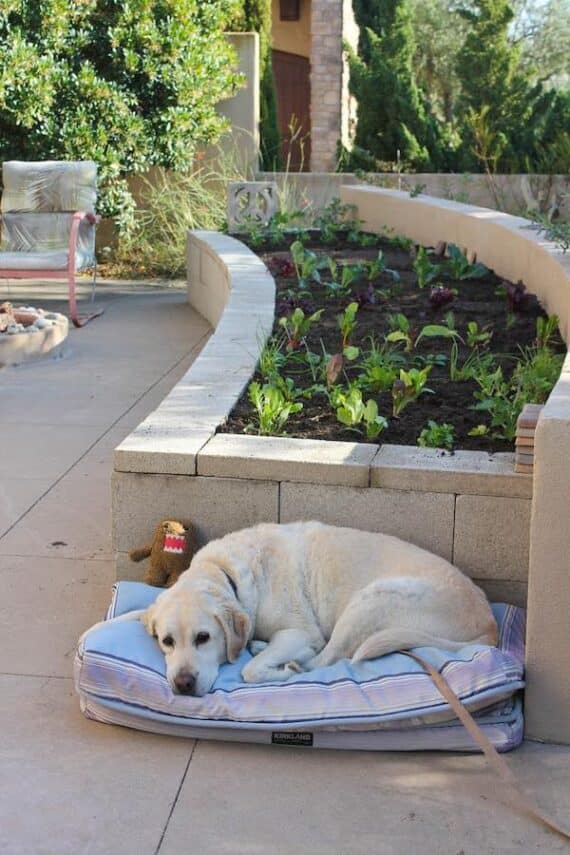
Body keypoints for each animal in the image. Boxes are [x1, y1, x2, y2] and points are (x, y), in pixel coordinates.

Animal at [139, 520, 496, 696]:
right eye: (167, 642)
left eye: (204, 638)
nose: (183, 684)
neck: (227, 573)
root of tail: (490, 625)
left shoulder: (301, 632)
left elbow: (250, 671)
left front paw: (278, 668)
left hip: (370, 600)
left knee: (328, 658)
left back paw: (292, 664)